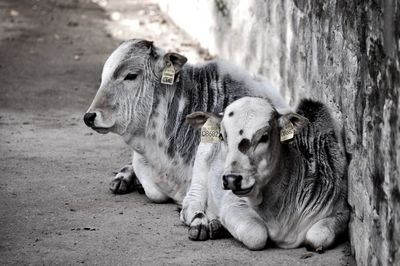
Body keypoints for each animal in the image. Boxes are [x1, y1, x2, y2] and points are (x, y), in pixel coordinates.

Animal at [183, 96, 348, 250]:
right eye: (222, 136)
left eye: (264, 137)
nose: (231, 179)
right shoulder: (233, 203)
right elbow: (256, 235)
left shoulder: (342, 210)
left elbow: (318, 236)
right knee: (191, 201)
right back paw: (199, 224)